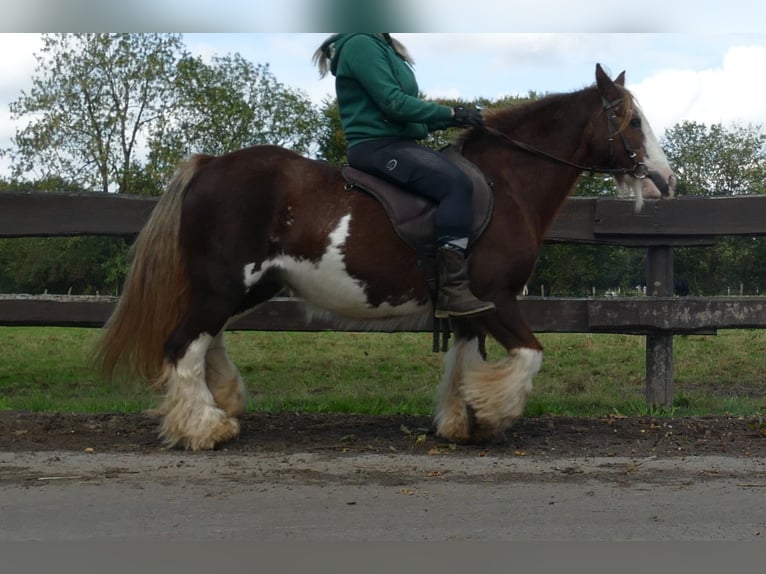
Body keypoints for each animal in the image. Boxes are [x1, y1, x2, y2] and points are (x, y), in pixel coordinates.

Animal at [96, 63, 680, 450]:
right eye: (632, 121)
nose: (665, 182)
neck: (505, 183)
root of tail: (210, 164)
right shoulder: (497, 297)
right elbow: (528, 356)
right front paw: (491, 416)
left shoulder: (468, 306)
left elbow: (463, 360)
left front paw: (460, 420)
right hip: (224, 283)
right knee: (183, 346)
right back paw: (204, 427)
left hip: (248, 286)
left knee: (206, 339)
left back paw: (223, 404)